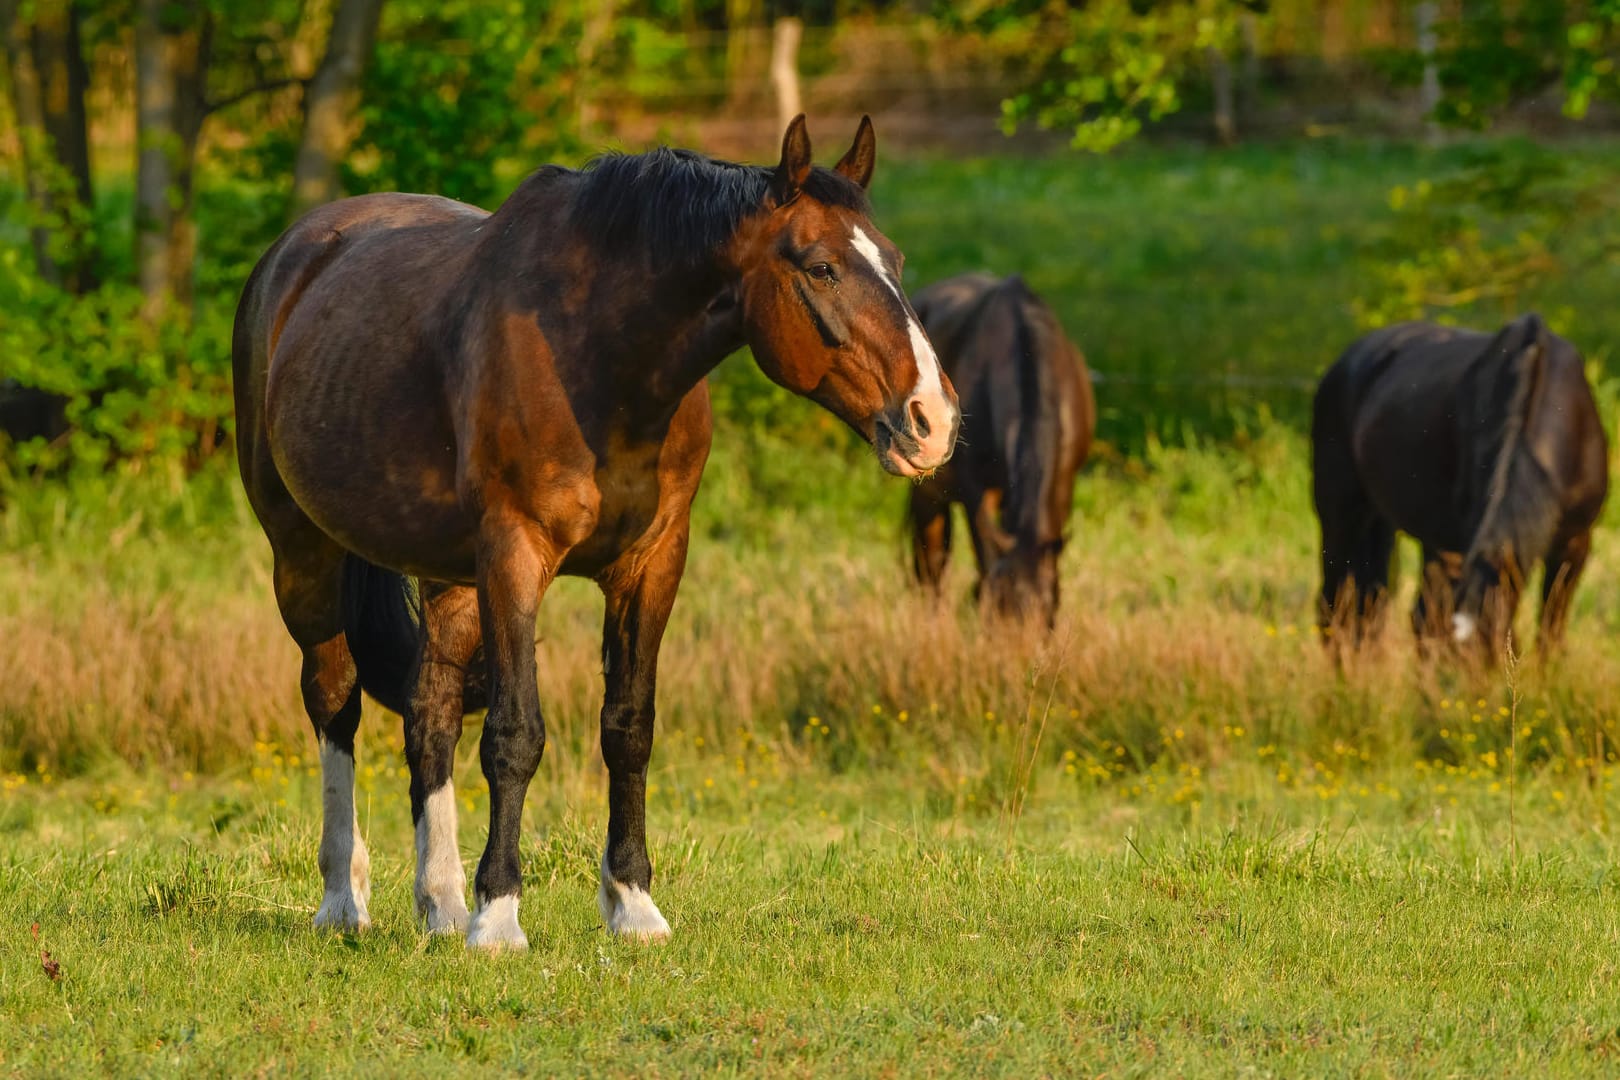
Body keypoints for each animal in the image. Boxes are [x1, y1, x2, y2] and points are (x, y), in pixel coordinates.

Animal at [234, 114, 952, 952]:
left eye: (894, 262)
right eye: (822, 266)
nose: (933, 420)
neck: (601, 358)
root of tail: (295, 254)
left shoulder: (652, 563)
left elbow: (629, 727)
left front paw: (632, 904)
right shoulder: (513, 555)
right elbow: (515, 735)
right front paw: (500, 915)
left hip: (447, 576)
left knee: (429, 715)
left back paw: (440, 904)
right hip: (303, 552)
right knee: (334, 700)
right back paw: (345, 899)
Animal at [907, 272, 1095, 625]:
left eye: (1048, 616)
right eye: (998, 613)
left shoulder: (1063, 482)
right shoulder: (976, 489)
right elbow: (983, 555)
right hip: (928, 494)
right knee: (932, 563)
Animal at [1315, 312, 1607, 660]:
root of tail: (1346, 360)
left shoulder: (1576, 541)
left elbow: (1552, 626)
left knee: (1384, 608)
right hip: (1341, 518)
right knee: (1337, 606)